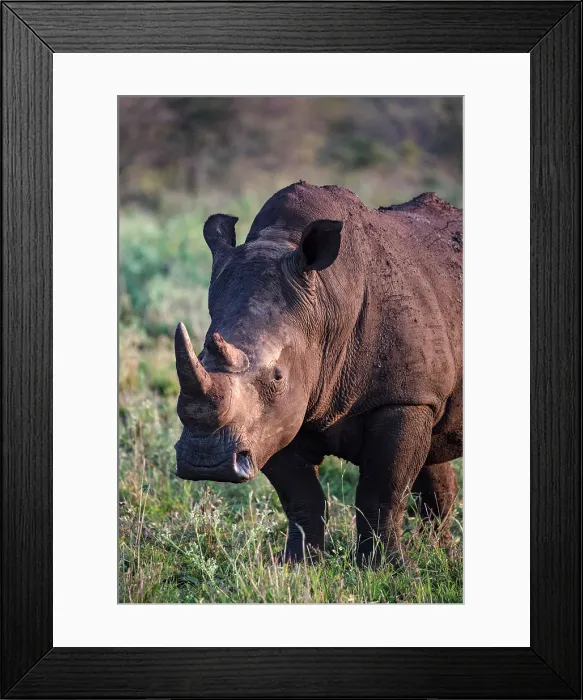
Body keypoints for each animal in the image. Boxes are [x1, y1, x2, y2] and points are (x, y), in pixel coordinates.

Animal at [174, 181, 462, 567]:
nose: (205, 462)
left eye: (277, 377)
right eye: (201, 356)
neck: (326, 304)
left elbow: (383, 491)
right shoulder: (272, 420)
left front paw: (385, 569)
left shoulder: (406, 398)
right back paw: (440, 552)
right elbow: (301, 497)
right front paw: (297, 565)